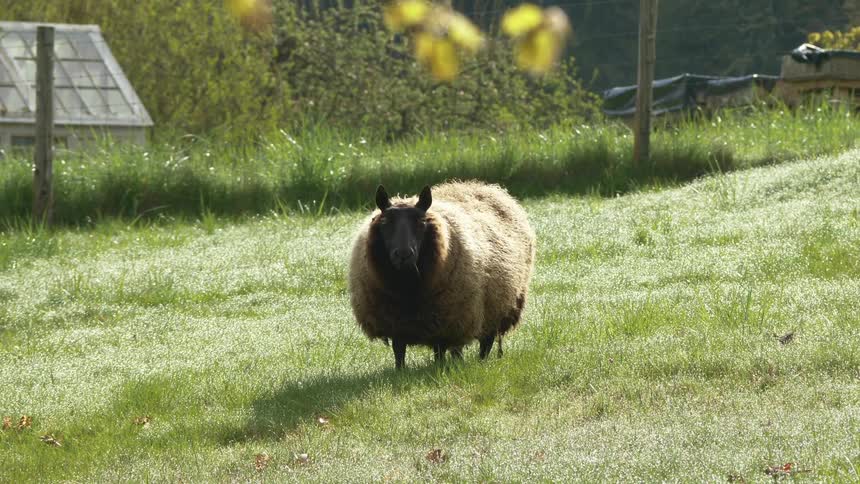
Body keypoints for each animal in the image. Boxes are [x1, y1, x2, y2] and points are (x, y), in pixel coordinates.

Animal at [348, 181, 536, 369]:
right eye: (386, 222)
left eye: (421, 222)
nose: (403, 255)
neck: (408, 289)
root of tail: (485, 187)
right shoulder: (395, 323)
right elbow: (399, 351)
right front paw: (400, 371)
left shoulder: (451, 320)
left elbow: (443, 350)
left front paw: (445, 368)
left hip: (496, 308)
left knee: (485, 341)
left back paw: (479, 361)